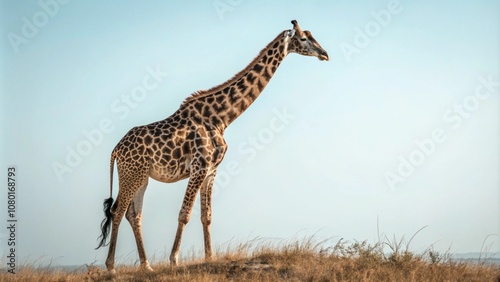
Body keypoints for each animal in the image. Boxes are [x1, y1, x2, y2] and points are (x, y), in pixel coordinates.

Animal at [95, 20, 330, 274]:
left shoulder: (211, 170)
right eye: (304, 38)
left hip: (142, 177)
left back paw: (146, 266)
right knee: (117, 210)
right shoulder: (199, 167)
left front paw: (209, 257)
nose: (325, 54)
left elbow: (206, 216)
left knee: (134, 214)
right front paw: (174, 260)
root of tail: (115, 150)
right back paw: (111, 267)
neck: (221, 118)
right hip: (131, 174)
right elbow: (184, 214)